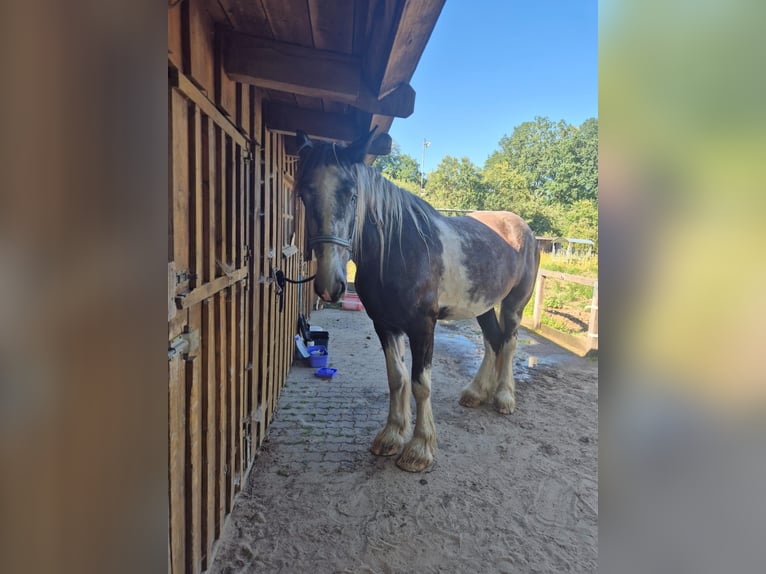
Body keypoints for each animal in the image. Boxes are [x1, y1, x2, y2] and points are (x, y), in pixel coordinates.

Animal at [294, 129, 540, 472]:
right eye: (305, 194)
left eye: (352, 194)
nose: (330, 285)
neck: (400, 248)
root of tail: (525, 229)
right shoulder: (385, 324)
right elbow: (397, 378)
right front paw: (391, 436)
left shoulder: (423, 326)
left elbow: (420, 384)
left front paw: (419, 449)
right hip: (483, 305)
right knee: (492, 340)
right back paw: (476, 393)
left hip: (514, 304)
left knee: (509, 342)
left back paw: (504, 397)